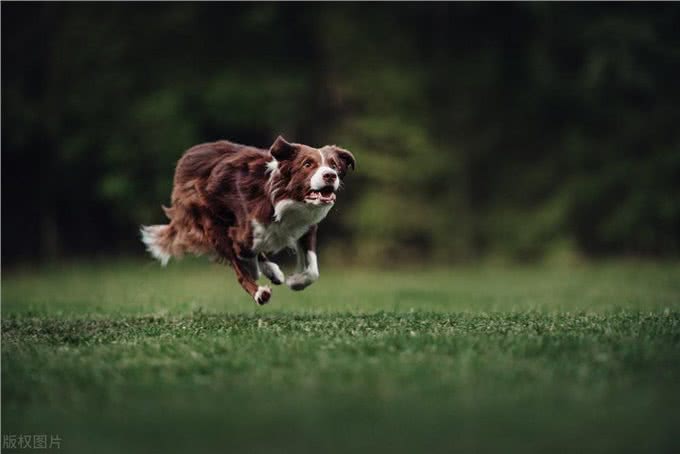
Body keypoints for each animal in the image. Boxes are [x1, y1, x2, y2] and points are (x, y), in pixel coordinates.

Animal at [141, 135, 358, 306]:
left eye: (334, 165)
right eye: (307, 164)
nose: (330, 176)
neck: (285, 199)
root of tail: (187, 157)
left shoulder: (306, 227)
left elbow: (313, 270)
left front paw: (295, 281)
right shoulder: (241, 233)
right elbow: (244, 256)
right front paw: (261, 274)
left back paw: (273, 272)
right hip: (213, 225)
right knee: (239, 266)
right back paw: (260, 291)